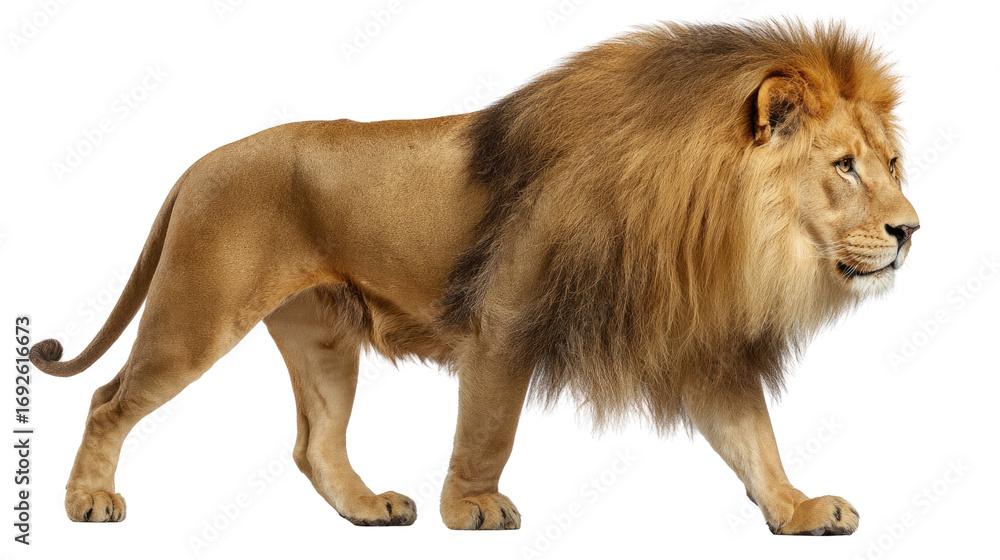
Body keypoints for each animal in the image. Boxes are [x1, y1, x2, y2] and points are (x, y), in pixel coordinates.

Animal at [30, 20, 917, 535]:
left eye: (893, 164)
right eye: (844, 166)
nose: (911, 230)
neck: (719, 228)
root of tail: (196, 164)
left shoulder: (699, 341)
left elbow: (754, 440)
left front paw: (797, 509)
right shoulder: (507, 318)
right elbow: (489, 427)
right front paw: (473, 508)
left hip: (322, 337)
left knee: (316, 443)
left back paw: (368, 509)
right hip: (198, 311)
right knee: (109, 398)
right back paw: (88, 503)